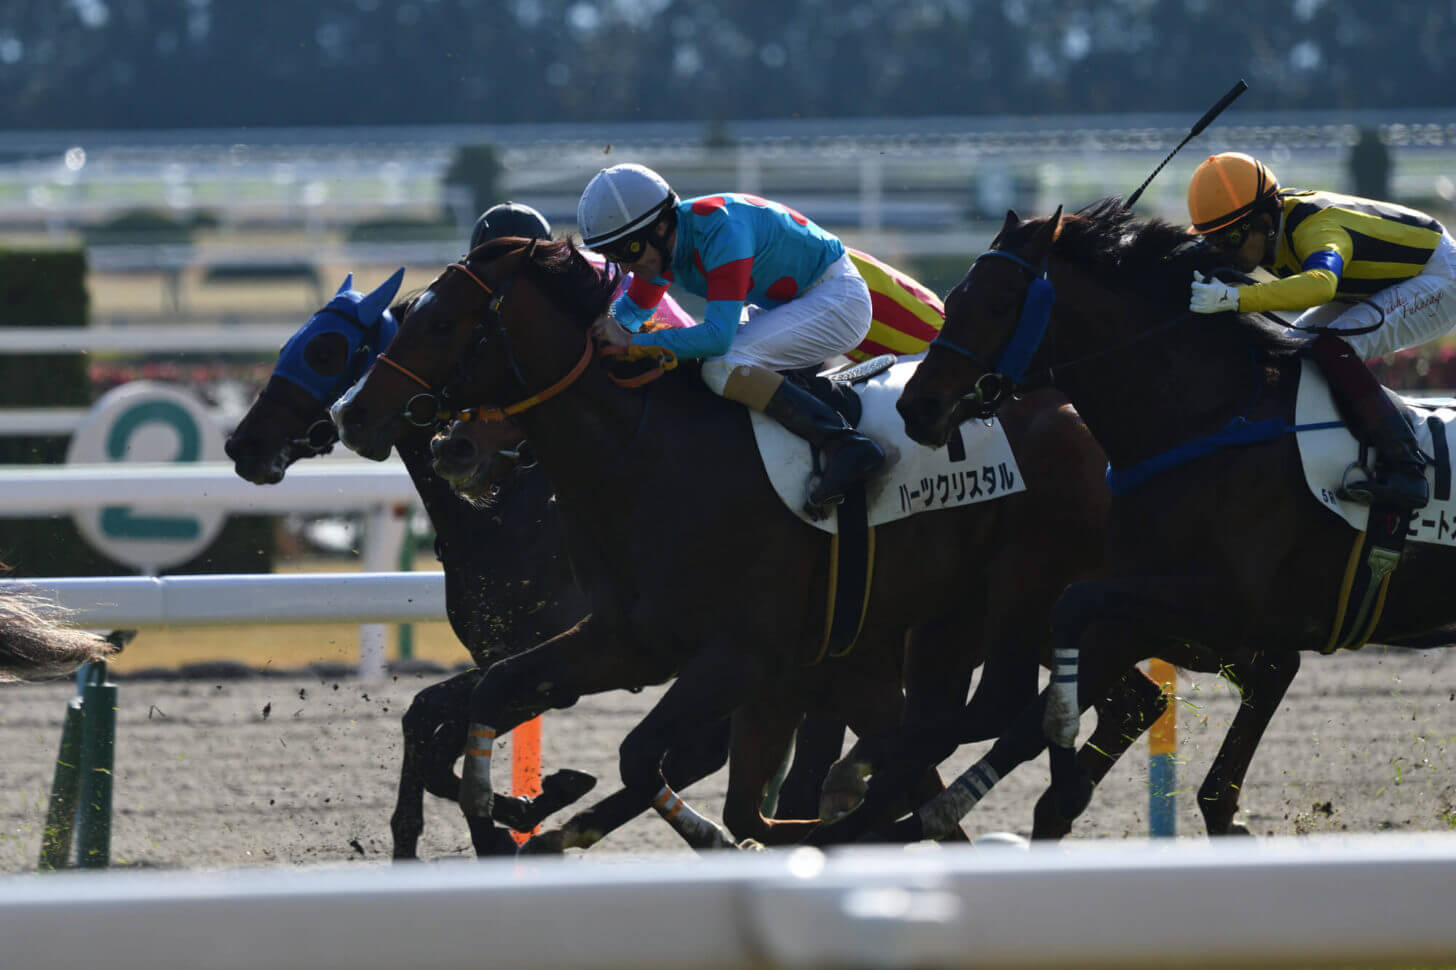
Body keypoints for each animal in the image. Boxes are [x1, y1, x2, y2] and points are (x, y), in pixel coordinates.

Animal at [334, 237, 1164, 850]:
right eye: (406, 317)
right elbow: (495, 690)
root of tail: (1076, 406)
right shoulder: (629, 642)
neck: (643, 456)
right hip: (942, 623)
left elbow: (645, 758)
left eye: (442, 324)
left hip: (1026, 591)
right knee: (958, 725)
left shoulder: (742, 656)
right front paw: (504, 808)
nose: (353, 414)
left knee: (1018, 708)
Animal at [891, 199, 1456, 833]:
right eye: (954, 298)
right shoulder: (1149, 600)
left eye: (995, 304)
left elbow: (1071, 613)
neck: (1207, 419)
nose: (916, 406)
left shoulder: (1224, 601)